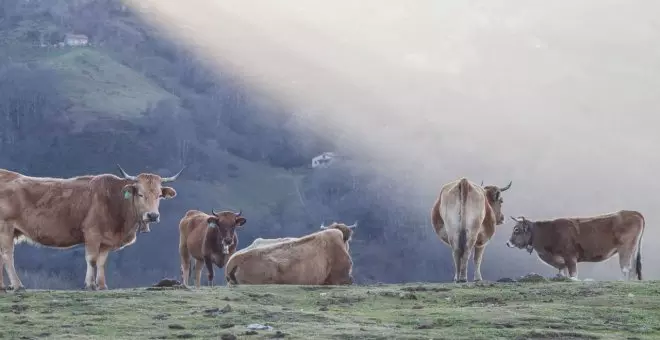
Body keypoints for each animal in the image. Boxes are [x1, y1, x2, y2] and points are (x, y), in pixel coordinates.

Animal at [0, 163, 182, 290]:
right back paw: (17, 285)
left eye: (159, 195)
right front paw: (90, 284)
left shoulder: (106, 240)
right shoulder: (92, 234)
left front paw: (102, 285)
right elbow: (92, 259)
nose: (153, 216)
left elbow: (101, 262)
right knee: (7, 256)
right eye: (140, 194)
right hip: (6, 228)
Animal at [506, 210, 644, 282]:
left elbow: (573, 275)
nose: (508, 243)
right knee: (633, 268)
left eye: (516, 230)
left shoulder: (570, 257)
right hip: (633, 249)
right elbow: (564, 274)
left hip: (626, 248)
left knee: (626, 268)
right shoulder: (562, 263)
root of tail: (635, 213)